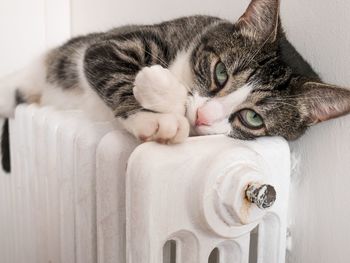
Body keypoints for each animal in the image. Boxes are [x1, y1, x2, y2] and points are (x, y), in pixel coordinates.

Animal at [0, 0, 350, 173]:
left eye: (253, 118)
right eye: (220, 72)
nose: (205, 116)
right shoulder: (108, 45)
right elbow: (108, 64)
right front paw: (156, 109)